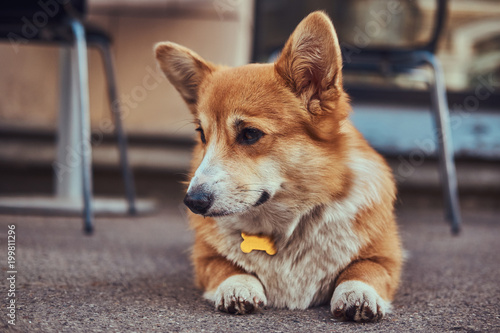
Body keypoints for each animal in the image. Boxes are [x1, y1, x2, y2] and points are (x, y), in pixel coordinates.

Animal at [156, 11, 402, 322]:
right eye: (202, 135)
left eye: (250, 134)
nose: (193, 202)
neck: (286, 224)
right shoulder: (206, 259)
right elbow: (227, 267)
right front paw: (238, 287)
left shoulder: (385, 257)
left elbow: (364, 268)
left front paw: (357, 293)